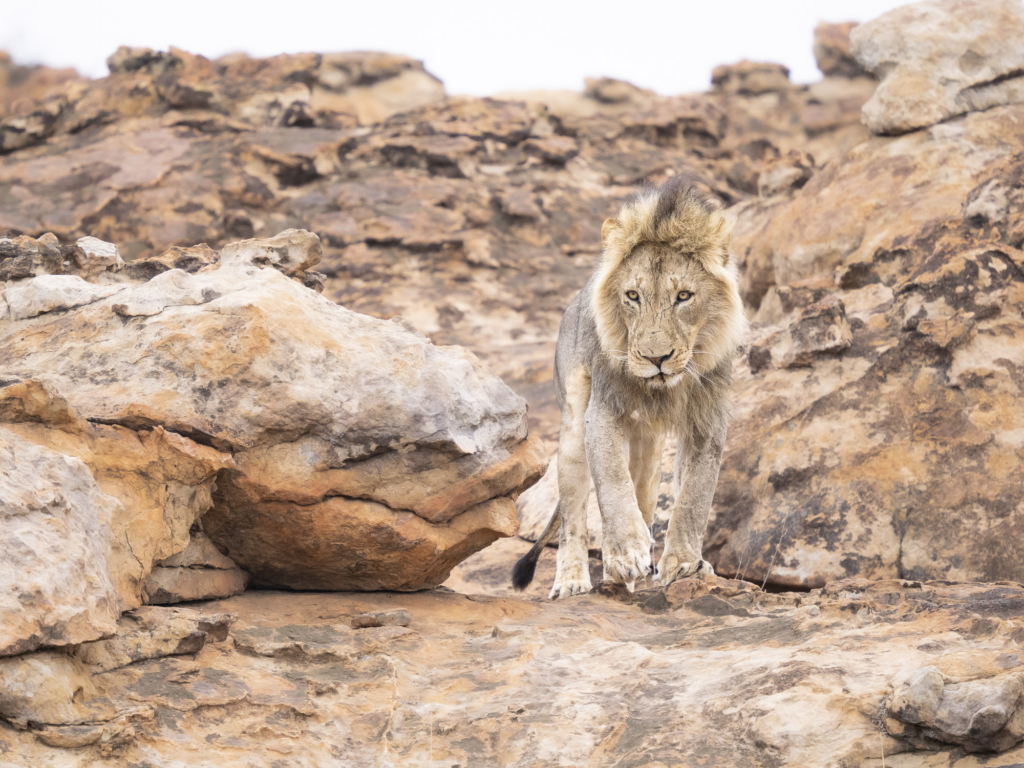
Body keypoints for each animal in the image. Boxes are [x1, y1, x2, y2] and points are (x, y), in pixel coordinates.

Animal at [509, 176, 745, 602]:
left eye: (683, 296)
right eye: (633, 296)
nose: (657, 358)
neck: (664, 389)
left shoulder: (707, 422)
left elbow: (694, 496)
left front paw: (684, 563)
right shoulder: (602, 412)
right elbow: (613, 483)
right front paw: (625, 553)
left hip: (649, 458)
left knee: (645, 496)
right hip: (572, 431)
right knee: (572, 516)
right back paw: (573, 580)